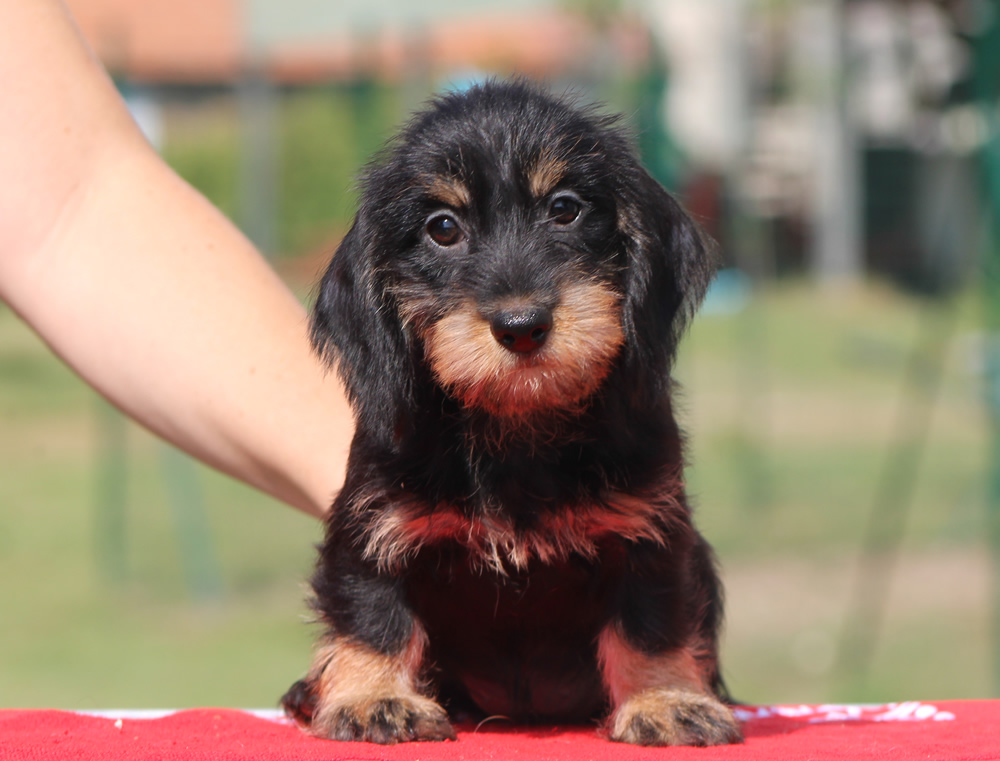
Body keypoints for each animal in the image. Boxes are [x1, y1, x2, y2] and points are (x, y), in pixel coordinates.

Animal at [282, 80, 744, 744]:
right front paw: (374, 698)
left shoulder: (653, 535)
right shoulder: (371, 529)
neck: (519, 428)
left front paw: (664, 700)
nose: (522, 326)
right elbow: (373, 617)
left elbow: (650, 625)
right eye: (442, 227)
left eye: (565, 208)